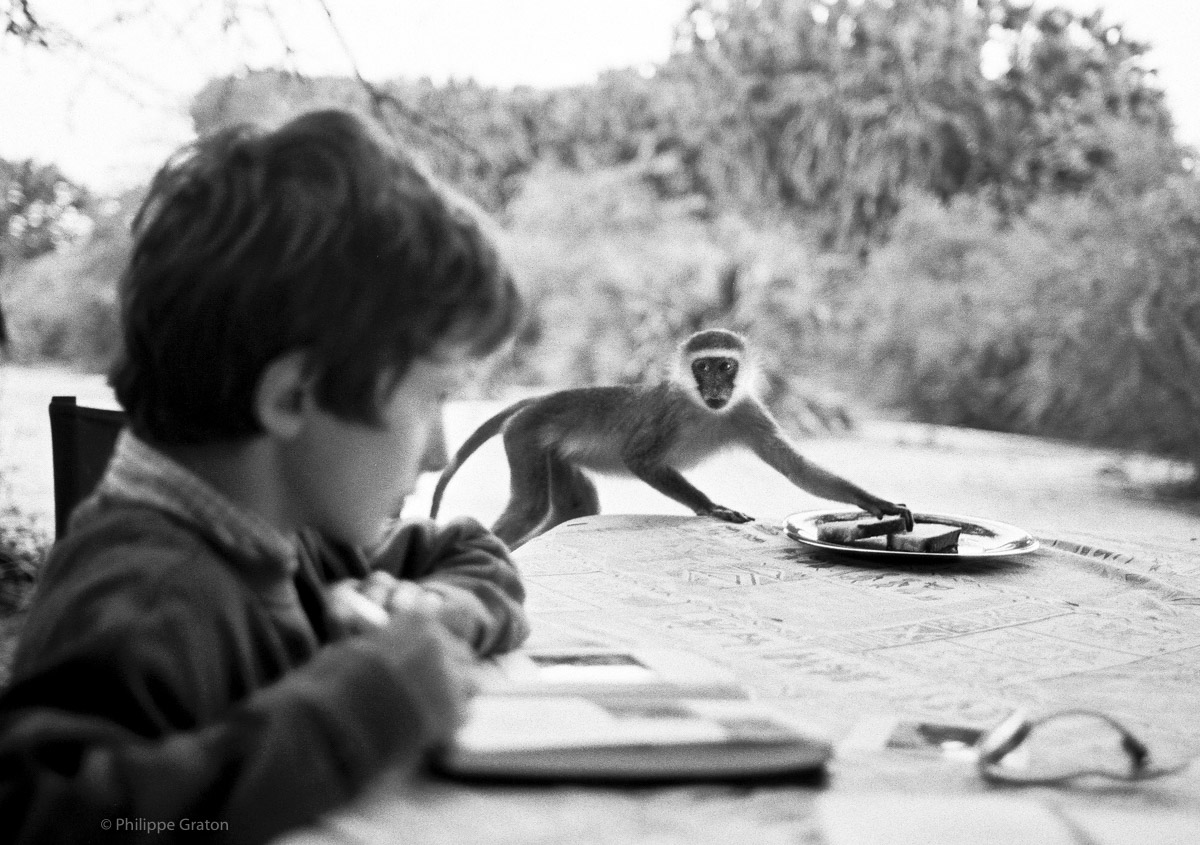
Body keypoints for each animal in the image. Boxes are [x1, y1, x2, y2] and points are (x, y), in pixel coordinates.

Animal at [432, 326, 907, 552]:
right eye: (703, 367)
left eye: (726, 366)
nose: (714, 387)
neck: (704, 410)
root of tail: (542, 400)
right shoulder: (669, 412)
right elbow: (638, 458)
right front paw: (712, 508)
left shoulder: (747, 410)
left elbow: (795, 468)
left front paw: (875, 503)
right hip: (525, 434)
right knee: (529, 506)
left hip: (548, 446)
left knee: (577, 507)